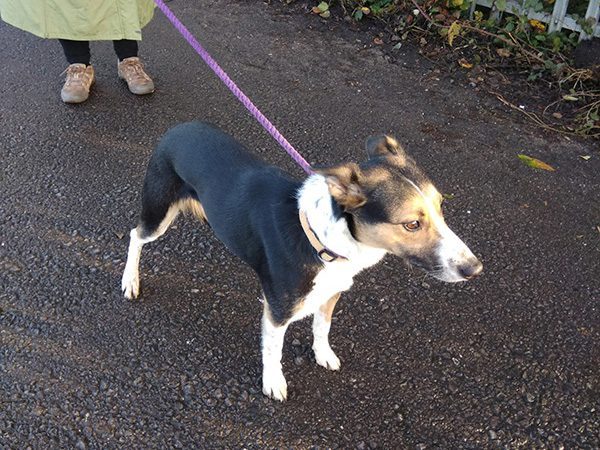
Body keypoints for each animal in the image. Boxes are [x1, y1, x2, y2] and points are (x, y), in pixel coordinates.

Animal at [122, 122, 482, 400]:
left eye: (440, 206)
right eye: (411, 224)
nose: (474, 268)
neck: (321, 238)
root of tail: (176, 129)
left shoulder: (330, 293)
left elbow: (322, 327)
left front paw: (323, 355)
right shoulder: (278, 310)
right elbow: (273, 350)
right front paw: (273, 383)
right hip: (158, 213)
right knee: (135, 235)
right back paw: (130, 281)